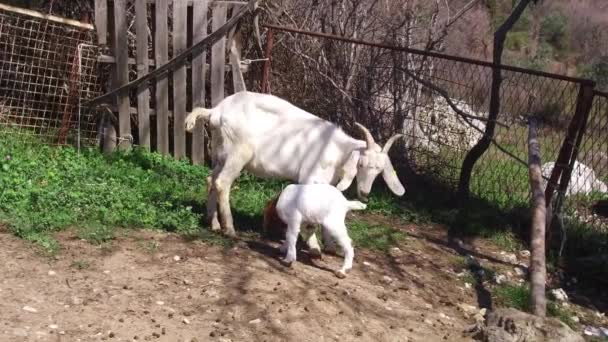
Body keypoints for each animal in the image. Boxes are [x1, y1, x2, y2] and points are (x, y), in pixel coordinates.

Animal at [185, 91, 404, 251]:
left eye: (379, 171)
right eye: (361, 165)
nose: (365, 193)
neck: (336, 149)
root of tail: (216, 111)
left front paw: (330, 246)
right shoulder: (310, 178)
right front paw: (314, 246)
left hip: (221, 153)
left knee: (210, 180)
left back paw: (212, 222)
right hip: (237, 153)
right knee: (222, 183)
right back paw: (229, 229)